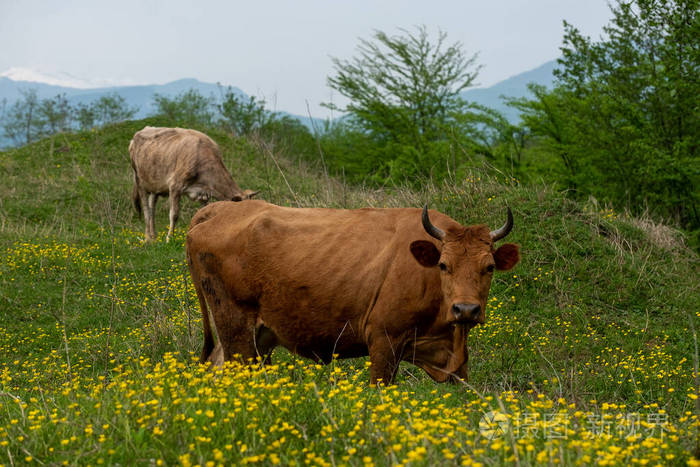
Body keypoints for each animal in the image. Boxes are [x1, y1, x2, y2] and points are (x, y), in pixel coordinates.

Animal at [129, 128, 258, 245]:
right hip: (140, 182)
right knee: (146, 210)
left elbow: (204, 213)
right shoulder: (175, 185)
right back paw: (148, 239)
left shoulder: (203, 194)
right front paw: (169, 238)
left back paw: (154, 236)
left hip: (155, 185)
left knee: (152, 208)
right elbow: (174, 214)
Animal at [186, 200, 520, 384]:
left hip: (258, 335)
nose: (466, 310)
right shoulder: (384, 341)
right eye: (443, 265)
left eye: (489, 267)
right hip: (235, 328)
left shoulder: (456, 361)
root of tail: (219, 209)